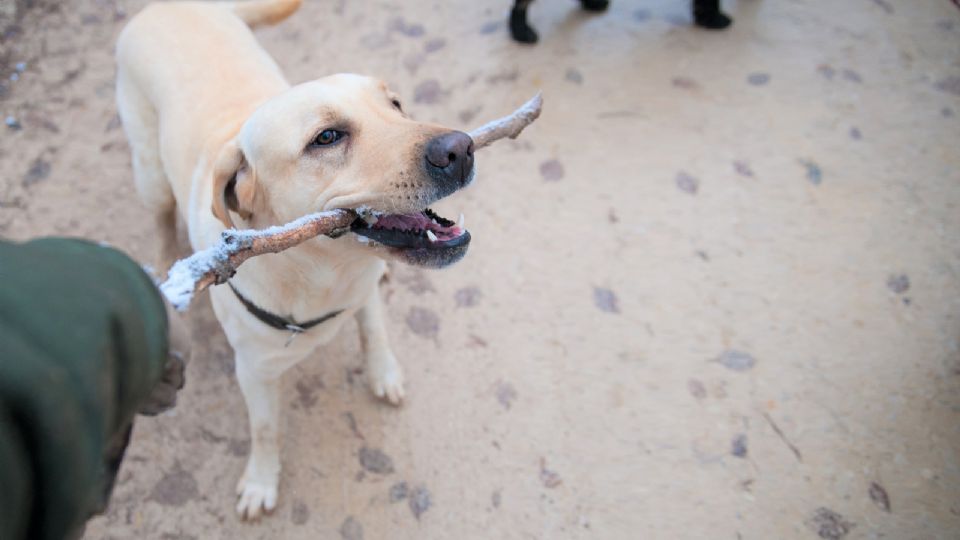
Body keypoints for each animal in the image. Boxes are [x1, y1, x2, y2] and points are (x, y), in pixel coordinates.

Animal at [115, 0, 472, 520]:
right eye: (327, 137)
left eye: (395, 105)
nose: (462, 149)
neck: (323, 273)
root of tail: (165, 7)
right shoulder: (254, 373)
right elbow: (266, 430)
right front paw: (261, 480)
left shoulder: (363, 290)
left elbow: (374, 330)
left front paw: (383, 372)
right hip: (148, 172)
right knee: (161, 217)